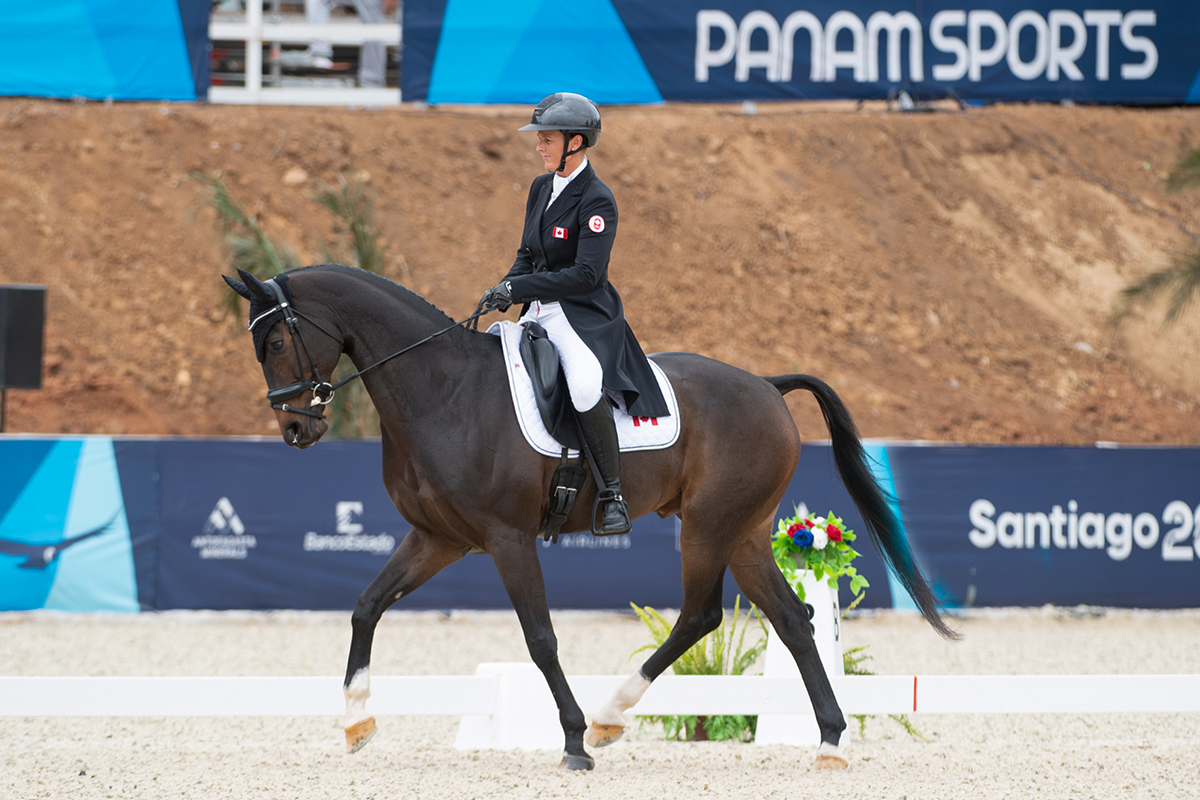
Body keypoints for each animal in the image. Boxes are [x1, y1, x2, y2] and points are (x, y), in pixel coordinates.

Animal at [225, 266, 955, 772]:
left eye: (277, 339)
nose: (295, 428)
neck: (443, 391)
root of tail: (767, 386)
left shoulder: (508, 539)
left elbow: (541, 639)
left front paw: (573, 740)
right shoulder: (438, 538)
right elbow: (366, 606)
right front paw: (356, 721)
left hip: (709, 528)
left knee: (702, 615)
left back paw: (607, 717)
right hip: (743, 532)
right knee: (790, 620)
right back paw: (829, 741)